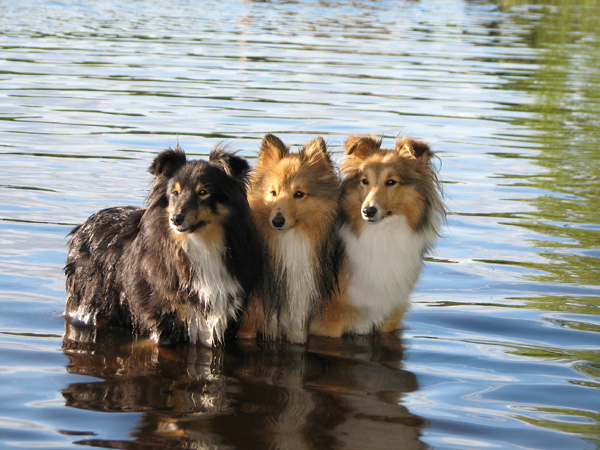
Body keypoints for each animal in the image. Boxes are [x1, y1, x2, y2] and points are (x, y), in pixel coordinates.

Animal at [64, 144, 262, 344]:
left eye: (203, 192)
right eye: (174, 192)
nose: (175, 219)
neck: (200, 245)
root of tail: (82, 225)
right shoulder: (162, 318)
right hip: (89, 302)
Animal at [240, 134, 342, 344]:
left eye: (299, 194)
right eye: (273, 192)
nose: (277, 221)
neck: (290, 241)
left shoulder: (297, 315)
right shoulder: (250, 322)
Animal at [310, 135, 446, 336]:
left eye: (391, 182)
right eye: (364, 181)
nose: (368, 211)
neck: (382, 235)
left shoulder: (391, 314)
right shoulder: (328, 323)